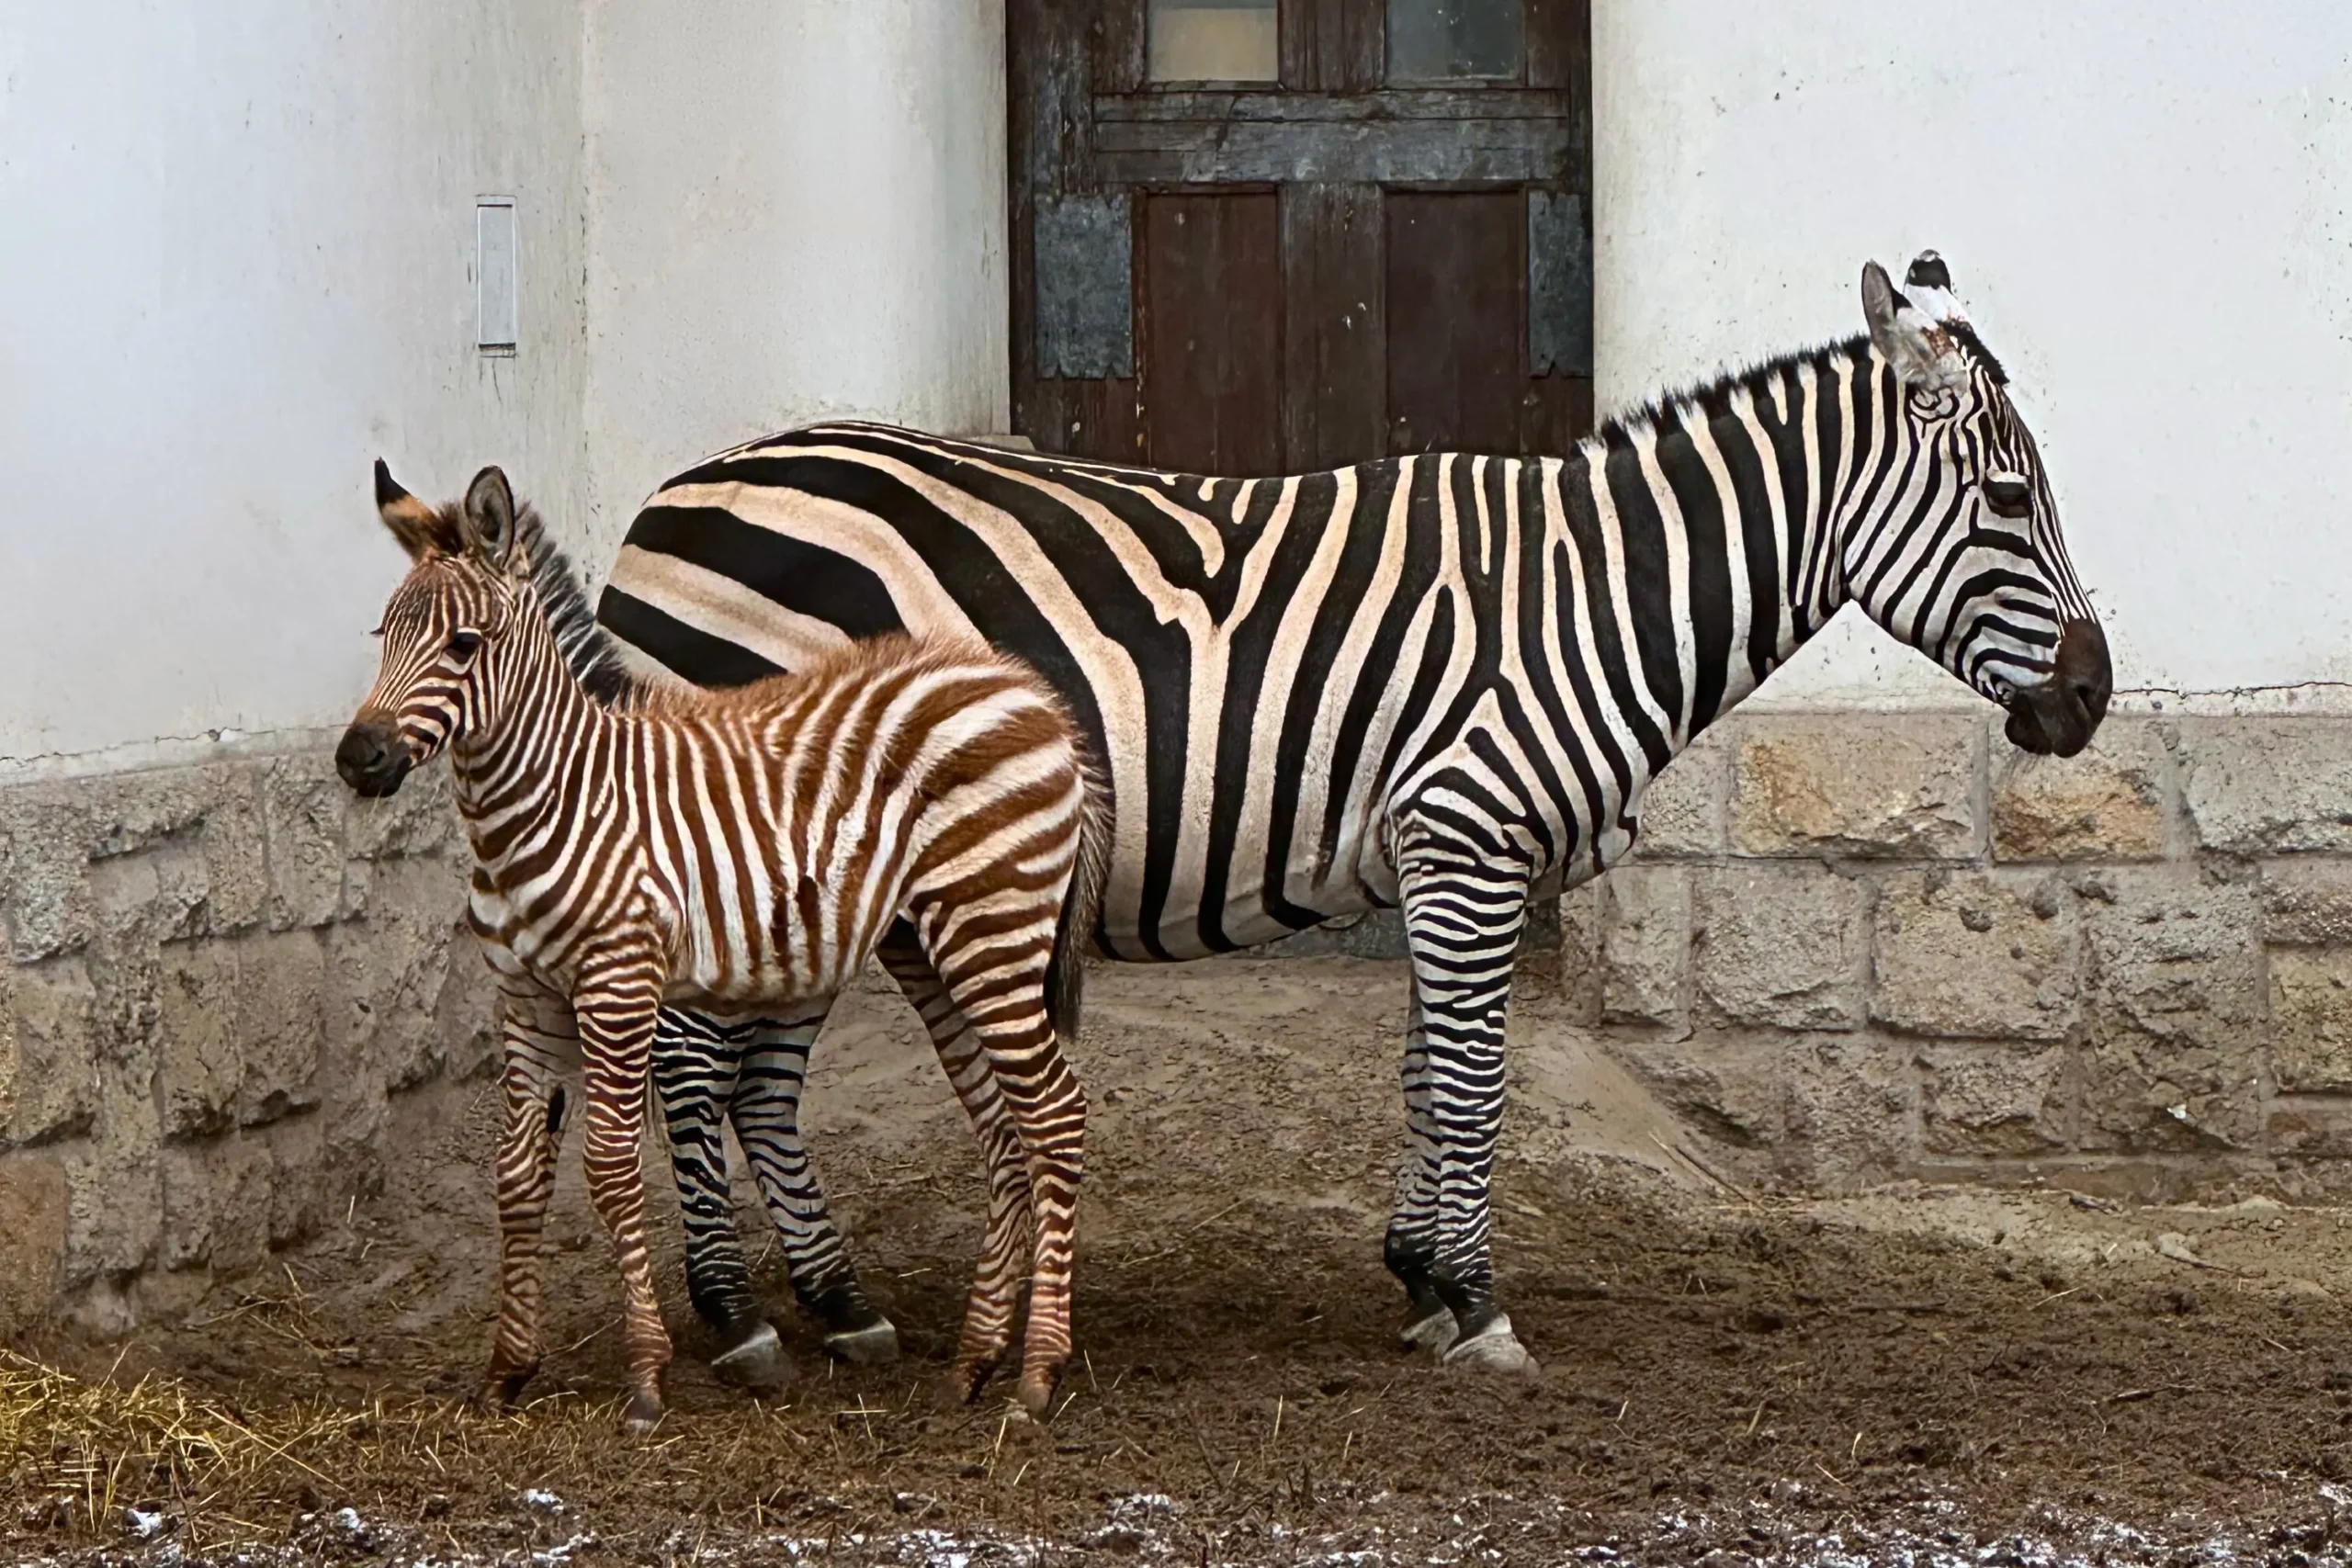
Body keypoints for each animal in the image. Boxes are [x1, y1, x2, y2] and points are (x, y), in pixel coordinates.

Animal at [331, 460, 1110, 1429]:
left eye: (465, 644)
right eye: (383, 634)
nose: (357, 758)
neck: (555, 801)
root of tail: (1025, 689)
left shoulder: (618, 982)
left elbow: (611, 1167)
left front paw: (644, 1376)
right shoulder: (526, 996)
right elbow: (516, 1171)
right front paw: (508, 1369)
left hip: (992, 926)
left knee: (1056, 1114)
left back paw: (1037, 1372)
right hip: (942, 945)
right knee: (1006, 1127)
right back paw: (975, 1359)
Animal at [606, 247, 2117, 1372]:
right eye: (2009, 495)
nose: (2094, 697)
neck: (1587, 597)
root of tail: (669, 496)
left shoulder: (1437, 851)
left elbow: (1423, 1070)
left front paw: (1420, 1277)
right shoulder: (1470, 833)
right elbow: (1476, 1074)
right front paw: (1480, 1301)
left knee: (752, 1079)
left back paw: (839, 1303)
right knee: (690, 1065)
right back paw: (737, 1320)